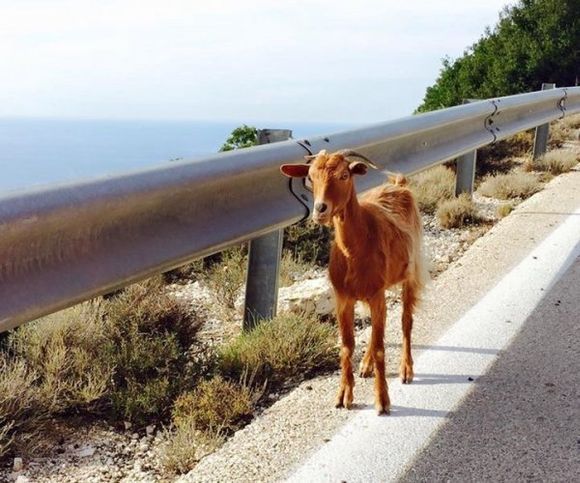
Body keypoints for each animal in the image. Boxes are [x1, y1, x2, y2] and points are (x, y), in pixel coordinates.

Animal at [280, 149, 426, 414]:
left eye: (344, 175)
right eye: (310, 177)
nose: (320, 209)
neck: (355, 249)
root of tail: (399, 185)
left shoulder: (377, 293)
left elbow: (380, 347)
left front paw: (382, 400)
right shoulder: (343, 299)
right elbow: (347, 346)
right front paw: (343, 395)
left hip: (410, 273)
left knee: (405, 321)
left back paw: (406, 369)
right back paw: (366, 365)